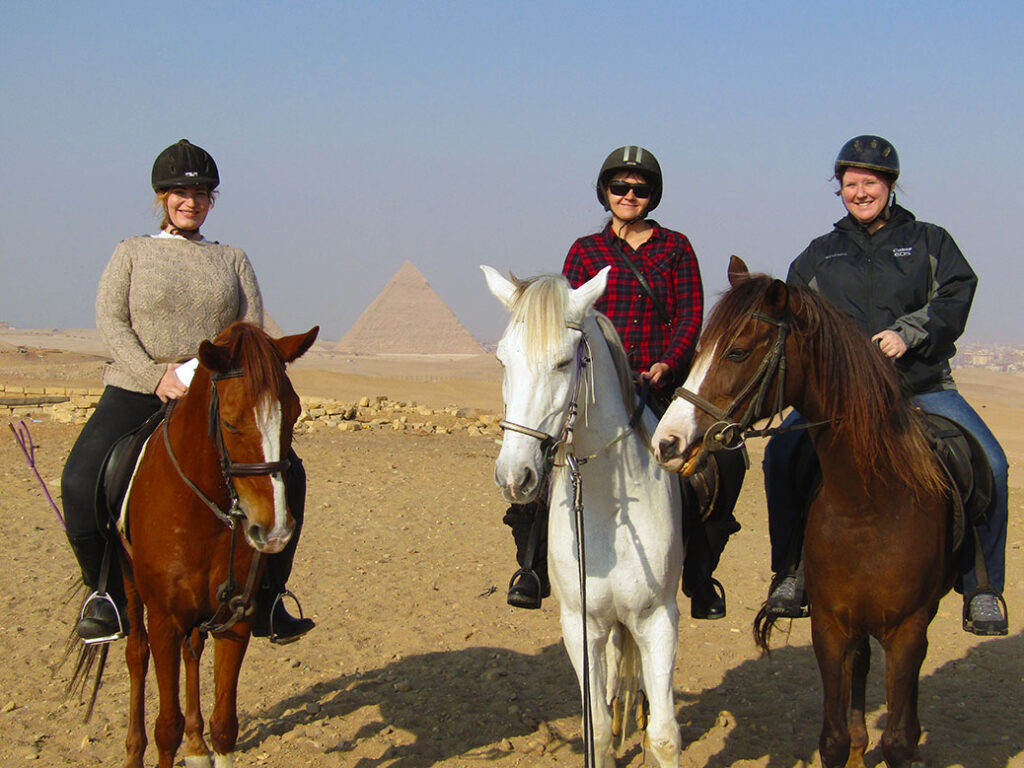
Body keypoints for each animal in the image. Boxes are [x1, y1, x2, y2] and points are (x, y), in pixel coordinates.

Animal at [102, 323, 315, 768]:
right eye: (231, 423)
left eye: (295, 411)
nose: (273, 530)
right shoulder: (163, 621)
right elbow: (166, 728)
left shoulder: (236, 618)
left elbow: (225, 726)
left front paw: (205, 741)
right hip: (131, 586)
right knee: (136, 656)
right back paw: (133, 750)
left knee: (193, 650)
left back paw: (196, 747)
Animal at [483, 266, 684, 768]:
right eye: (502, 361)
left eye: (561, 363)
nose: (515, 476)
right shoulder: (580, 624)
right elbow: (597, 730)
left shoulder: (659, 621)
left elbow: (664, 736)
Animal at [651, 260, 954, 768]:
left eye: (736, 351)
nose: (666, 443)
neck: (869, 506)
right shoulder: (829, 626)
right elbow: (834, 738)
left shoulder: (908, 629)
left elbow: (899, 740)